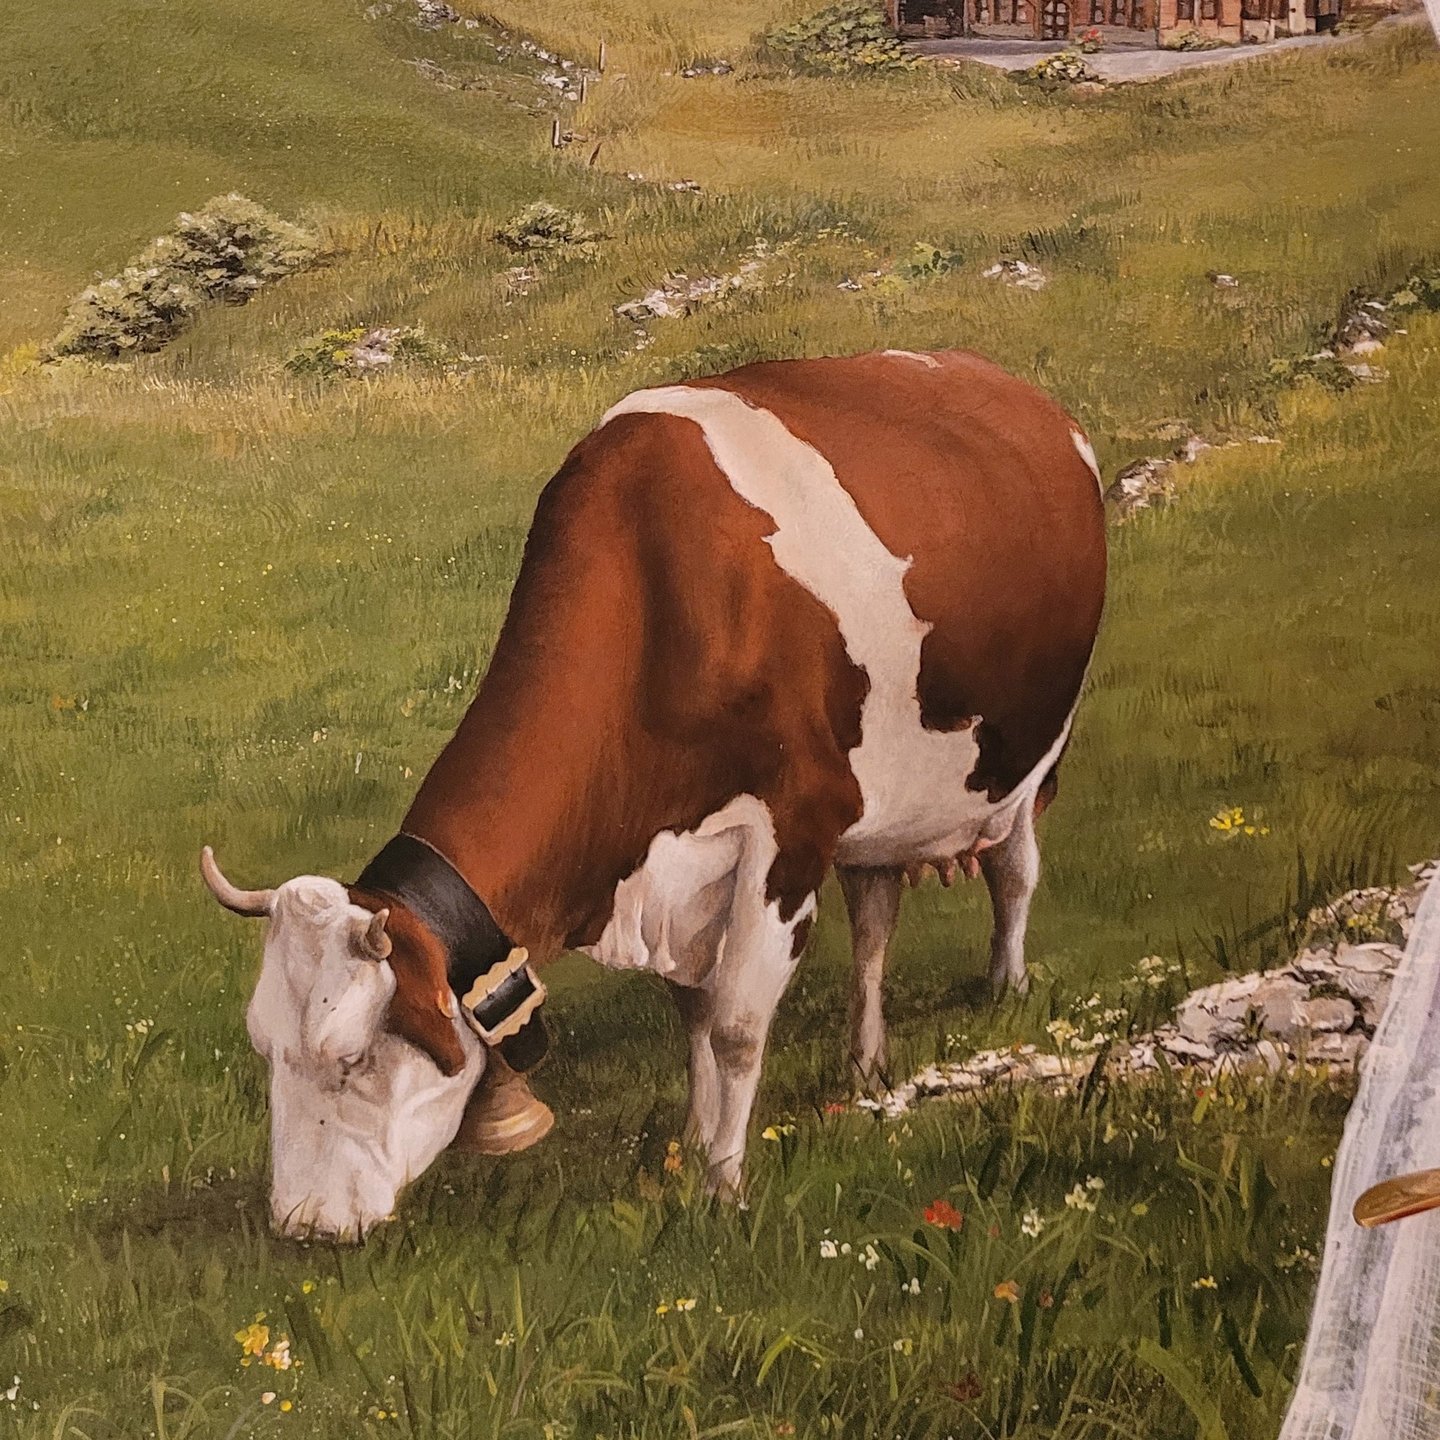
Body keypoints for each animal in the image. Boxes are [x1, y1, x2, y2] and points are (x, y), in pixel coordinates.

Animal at [202, 349, 1107, 1241]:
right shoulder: (683, 869)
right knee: (876, 918)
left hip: (1037, 754)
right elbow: (696, 1013)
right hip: (882, 807)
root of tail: (1013, 387)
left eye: (351, 1056)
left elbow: (737, 1026)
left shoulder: (791, 832)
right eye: (262, 1047)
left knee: (1015, 871)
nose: (302, 1225)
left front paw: (723, 1188)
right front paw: (693, 1144)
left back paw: (1005, 989)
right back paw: (866, 1061)